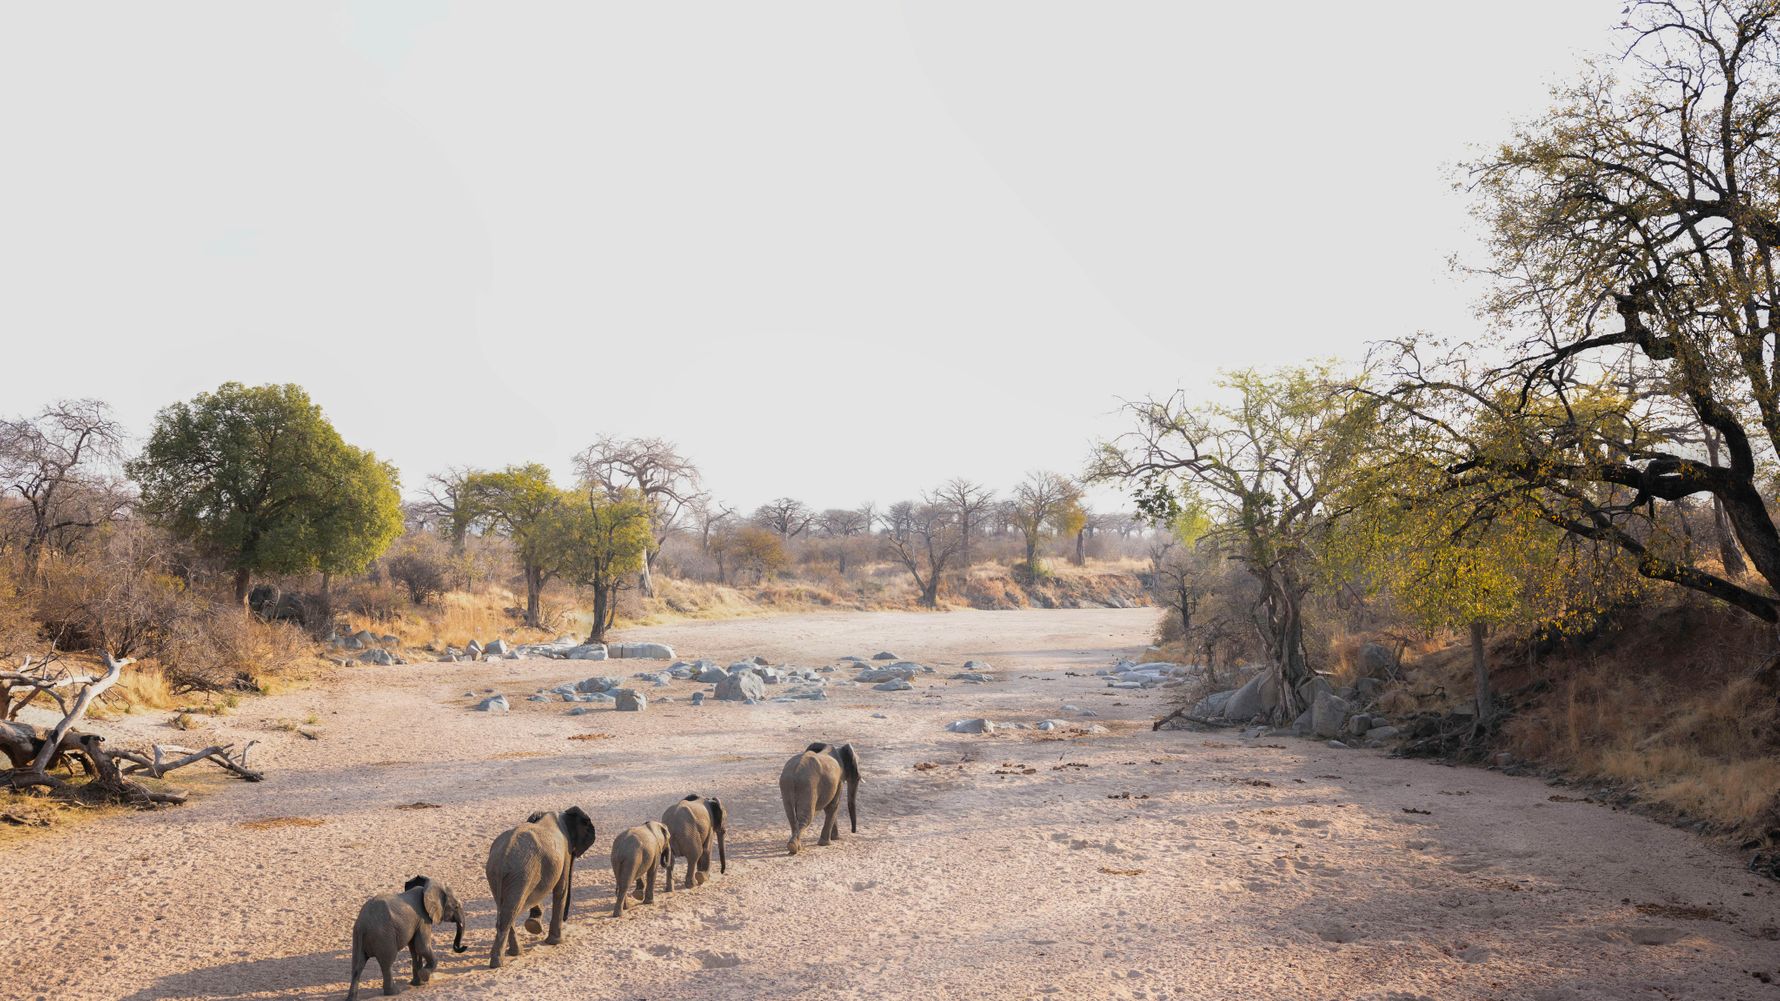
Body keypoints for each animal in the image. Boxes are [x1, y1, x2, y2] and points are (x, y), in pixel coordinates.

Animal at [484, 806, 597, 968]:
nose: (566, 918)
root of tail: (503, 857)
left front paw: (534, 925)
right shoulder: (565, 851)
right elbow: (561, 889)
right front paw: (555, 942)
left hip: (500, 875)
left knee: (505, 909)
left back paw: (514, 953)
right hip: (521, 873)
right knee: (511, 911)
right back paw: (499, 963)